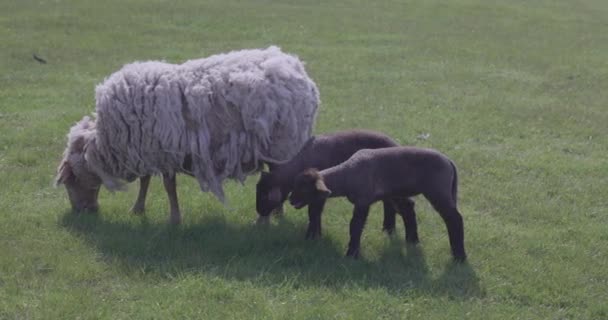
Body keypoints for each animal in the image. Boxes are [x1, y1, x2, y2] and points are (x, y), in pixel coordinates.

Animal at [55, 46, 324, 224]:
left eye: (70, 181)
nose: (85, 212)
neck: (108, 141)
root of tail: (298, 70)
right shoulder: (150, 149)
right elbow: (146, 181)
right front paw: (138, 209)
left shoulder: (164, 151)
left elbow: (168, 186)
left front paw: (174, 219)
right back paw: (276, 214)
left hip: (281, 144)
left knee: (277, 180)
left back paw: (265, 220)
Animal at [288, 146, 466, 262]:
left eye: (303, 188)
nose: (291, 200)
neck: (347, 175)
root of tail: (449, 162)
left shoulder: (363, 200)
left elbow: (355, 226)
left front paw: (351, 254)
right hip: (400, 192)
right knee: (409, 210)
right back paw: (413, 241)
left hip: (437, 190)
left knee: (454, 219)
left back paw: (459, 256)